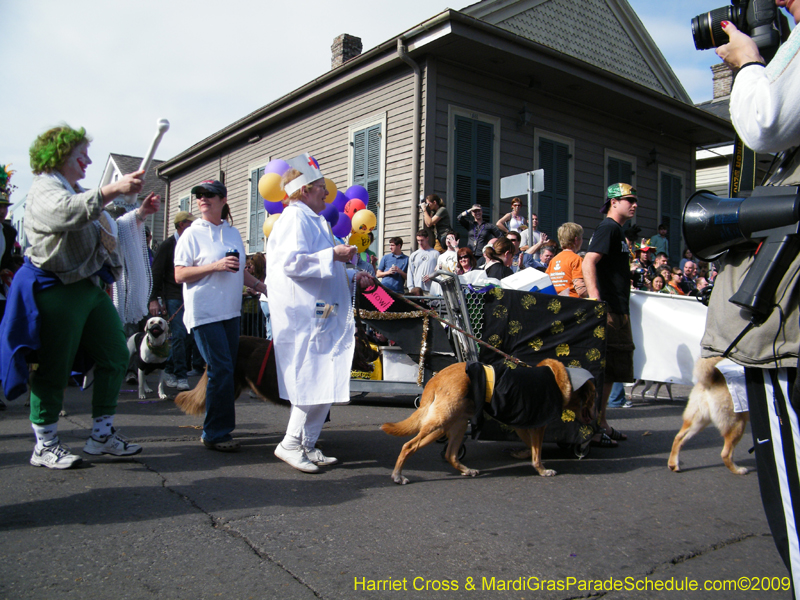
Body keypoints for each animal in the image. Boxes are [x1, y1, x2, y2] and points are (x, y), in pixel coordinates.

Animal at [380, 358, 592, 486]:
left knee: (450, 454)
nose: (594, 419)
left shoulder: (523, 424)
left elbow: (531, 447)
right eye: (593, 396)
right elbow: (537, 453)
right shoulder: (538, 425)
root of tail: (436, 378)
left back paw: (466, 470)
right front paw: (542, 470)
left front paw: (522, 454)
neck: (558, 379)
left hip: (454, 425)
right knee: (409, 446)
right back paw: (398, 475)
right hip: (440, 423)